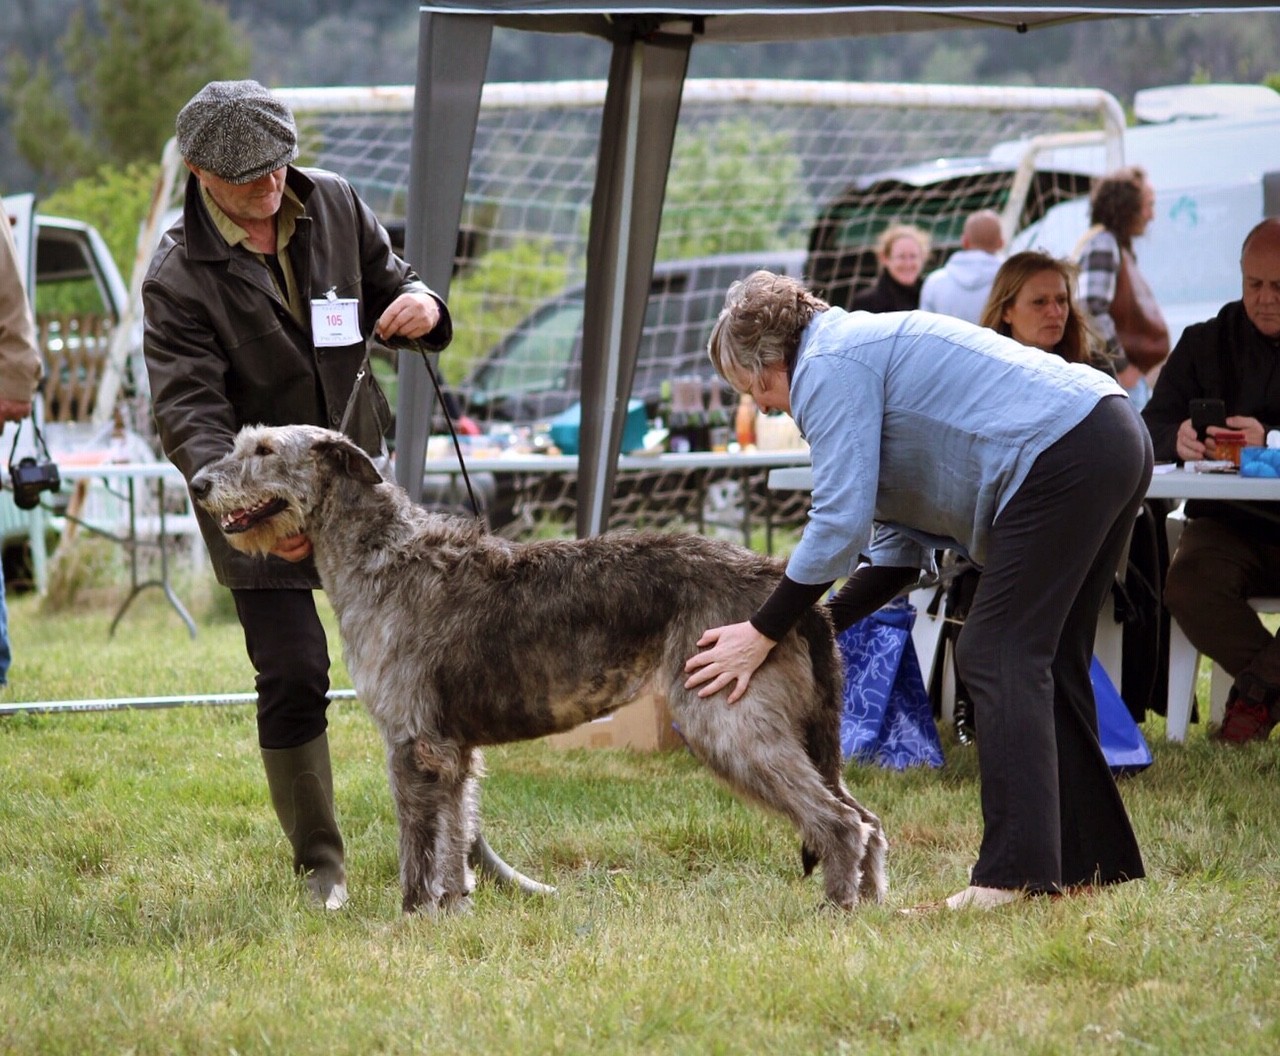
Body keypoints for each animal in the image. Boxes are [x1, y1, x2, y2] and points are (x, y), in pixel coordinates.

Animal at [192, 422, 890, 916]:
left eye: (263, 449)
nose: (197, 484)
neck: (383, 554)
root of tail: (785, 585)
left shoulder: (413, 742)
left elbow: (418, 840)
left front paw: (411, 914)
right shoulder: (453, 750)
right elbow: (455, 833)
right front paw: (454, 909)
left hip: (728, 718)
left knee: (839, 820)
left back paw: (836, 908)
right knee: (868, 819)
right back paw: (874, 905)